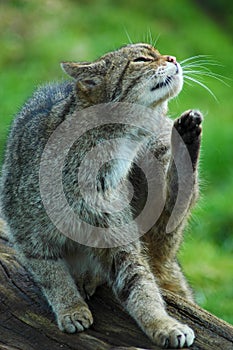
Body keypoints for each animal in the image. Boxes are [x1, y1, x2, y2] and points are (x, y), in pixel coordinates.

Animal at [0, 43, 202, 348]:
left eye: (158, 53)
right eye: (141, 59)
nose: (173, 58)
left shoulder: (121, 239)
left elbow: (142, 288)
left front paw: (163, 324)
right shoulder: (28, 234)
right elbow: (53, 277)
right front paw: (71, 308)